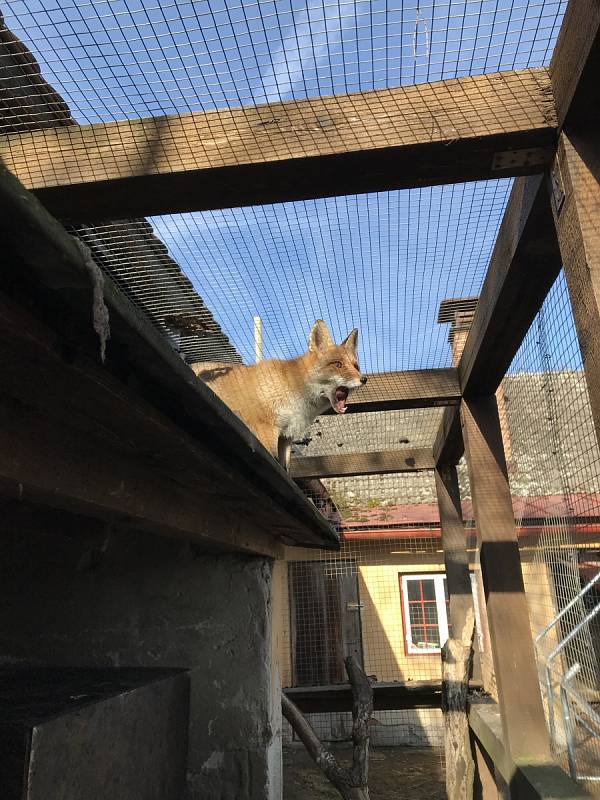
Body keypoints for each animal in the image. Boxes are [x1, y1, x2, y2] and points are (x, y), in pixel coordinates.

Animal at [195, 318, 368, 468]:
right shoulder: (266, 428)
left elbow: (286, 470)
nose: (364, 379)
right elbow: (274, 462)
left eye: (356, 366)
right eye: (338, 364)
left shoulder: (286, 437)